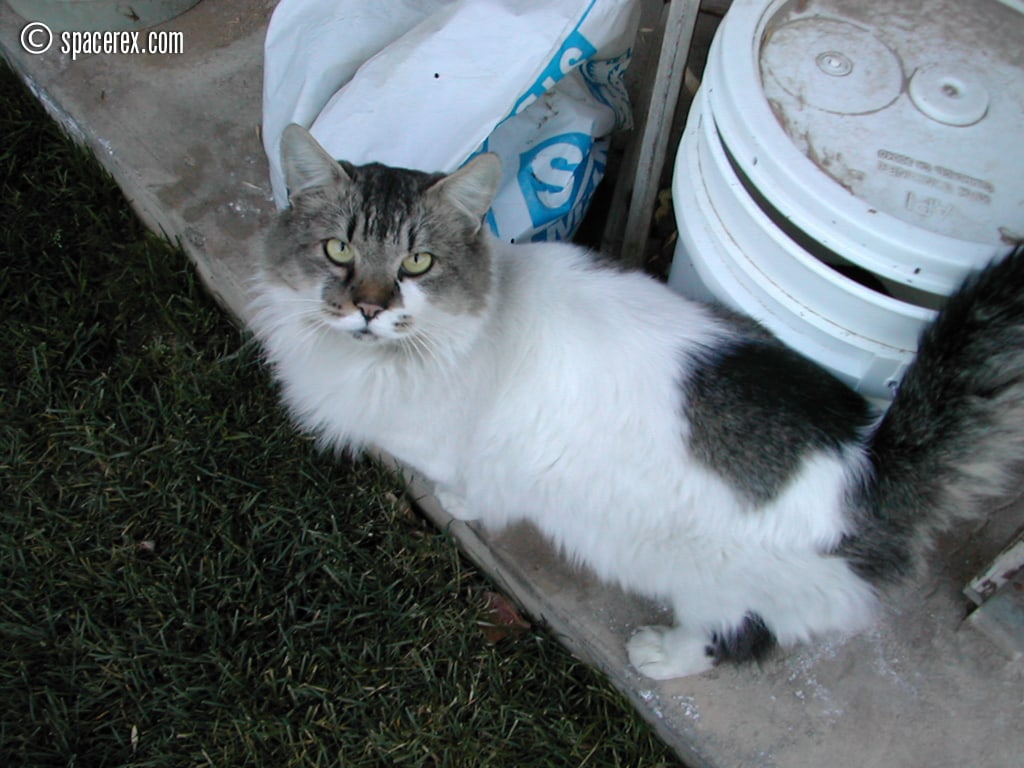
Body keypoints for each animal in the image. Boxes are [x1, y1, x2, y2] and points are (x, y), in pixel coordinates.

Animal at [249, 124, 1024, 679]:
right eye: (338, 250)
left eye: (417, 263)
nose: (370, 307)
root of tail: (869, 461)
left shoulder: (454, 448)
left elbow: (467, 485)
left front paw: (458, 504)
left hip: (716, 582)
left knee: (741, 637)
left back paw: (662, 655)